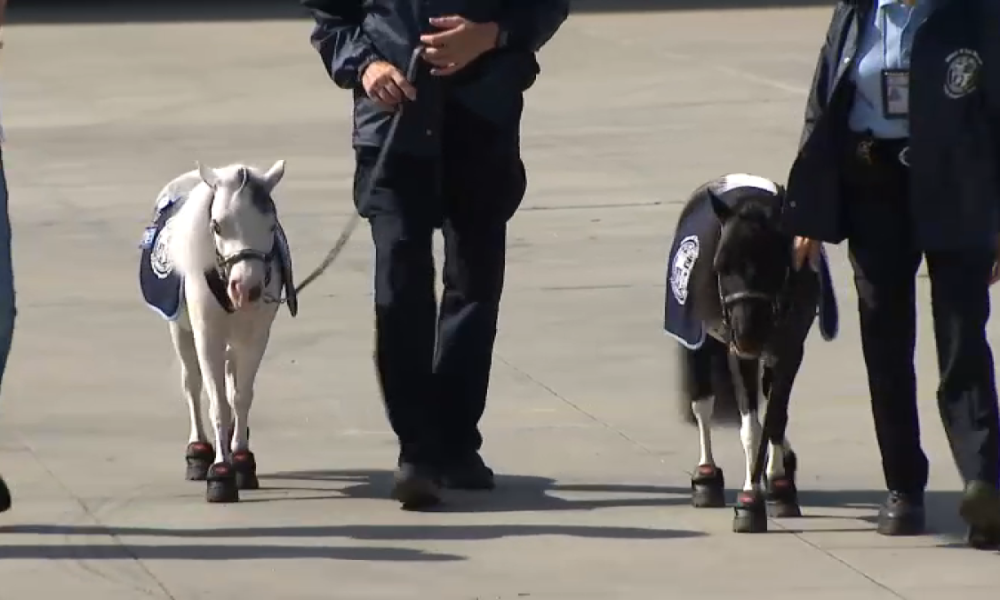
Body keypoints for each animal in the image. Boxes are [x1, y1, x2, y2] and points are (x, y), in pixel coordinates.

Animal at [140, 159, 296, 502]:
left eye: (271, 226)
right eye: (217, 226)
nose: (247, 289)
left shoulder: (256, 337)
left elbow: (241, 397)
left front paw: (242, 460)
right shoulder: (207, 337)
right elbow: (217, 404)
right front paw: (221, 471)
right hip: (180, 331)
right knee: (192, 383)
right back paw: (198, 452)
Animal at [668, 175, 840, 536]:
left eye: (773, 262)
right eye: (720, 264)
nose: (746, 336)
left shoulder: (790, 348)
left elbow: (775, 416)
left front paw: (779, 485)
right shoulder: (738, 354)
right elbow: (751, 429)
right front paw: (749, 499)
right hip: (699, 341)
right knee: (702, 403)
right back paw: (706, 477)